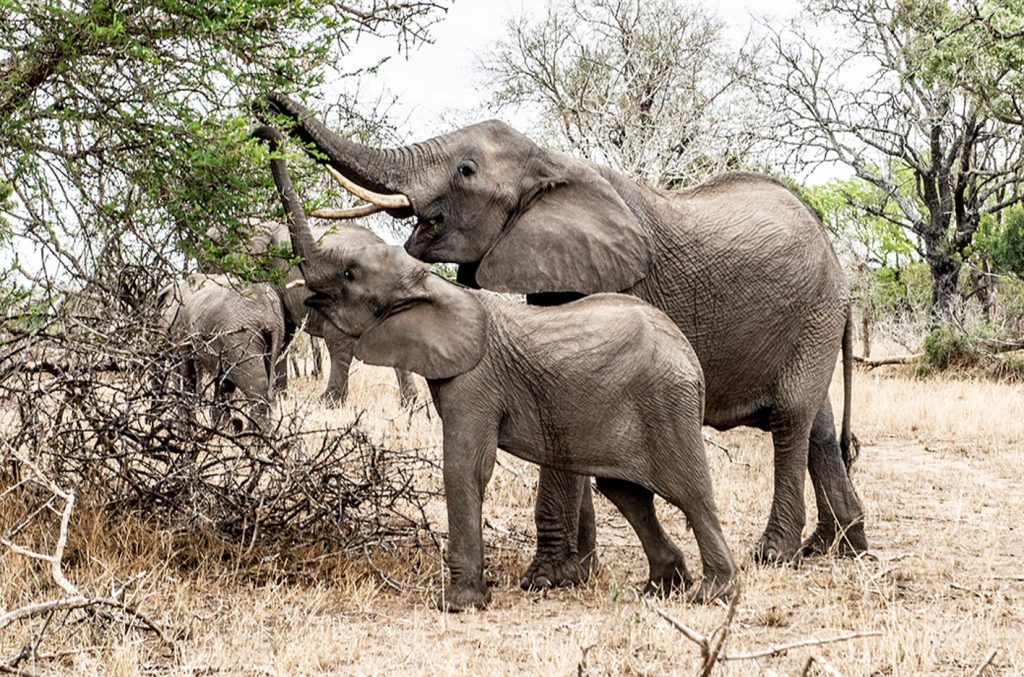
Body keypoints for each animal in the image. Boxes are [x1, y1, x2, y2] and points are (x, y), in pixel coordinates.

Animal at [155, 270, 284, 426]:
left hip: (241, 335)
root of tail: (270, 308)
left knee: (256, 388)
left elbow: (183, 371)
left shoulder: (180, 329)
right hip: (272, 335)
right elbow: (222, 379)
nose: (149, 421)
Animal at [260, 93, 868, 581]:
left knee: (790, 418)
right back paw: (840, 547)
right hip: (811, 318)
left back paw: (777, 553)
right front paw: (579, 571)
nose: (265, 116)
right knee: (817, 426)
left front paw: (547, 577)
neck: (550, 162)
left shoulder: (614, 273)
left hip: (815, 309)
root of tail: (838, 263)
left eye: (465, 170)